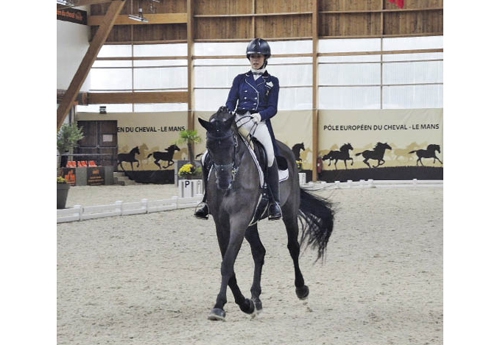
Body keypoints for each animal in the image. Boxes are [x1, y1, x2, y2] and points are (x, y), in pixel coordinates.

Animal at [197, 106, 334, 322]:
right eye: (209, 146)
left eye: (232, 144)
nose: (223, 182)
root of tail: (284, 149)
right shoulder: (222, 223)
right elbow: (228, 264)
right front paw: (245, 304)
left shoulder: (239, 219)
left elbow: (227, 263)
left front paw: (219, 307)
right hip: (251, 224)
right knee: (259, 252)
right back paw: (256, 299)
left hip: (288, 211)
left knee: (293, 247)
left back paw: (301, 290)